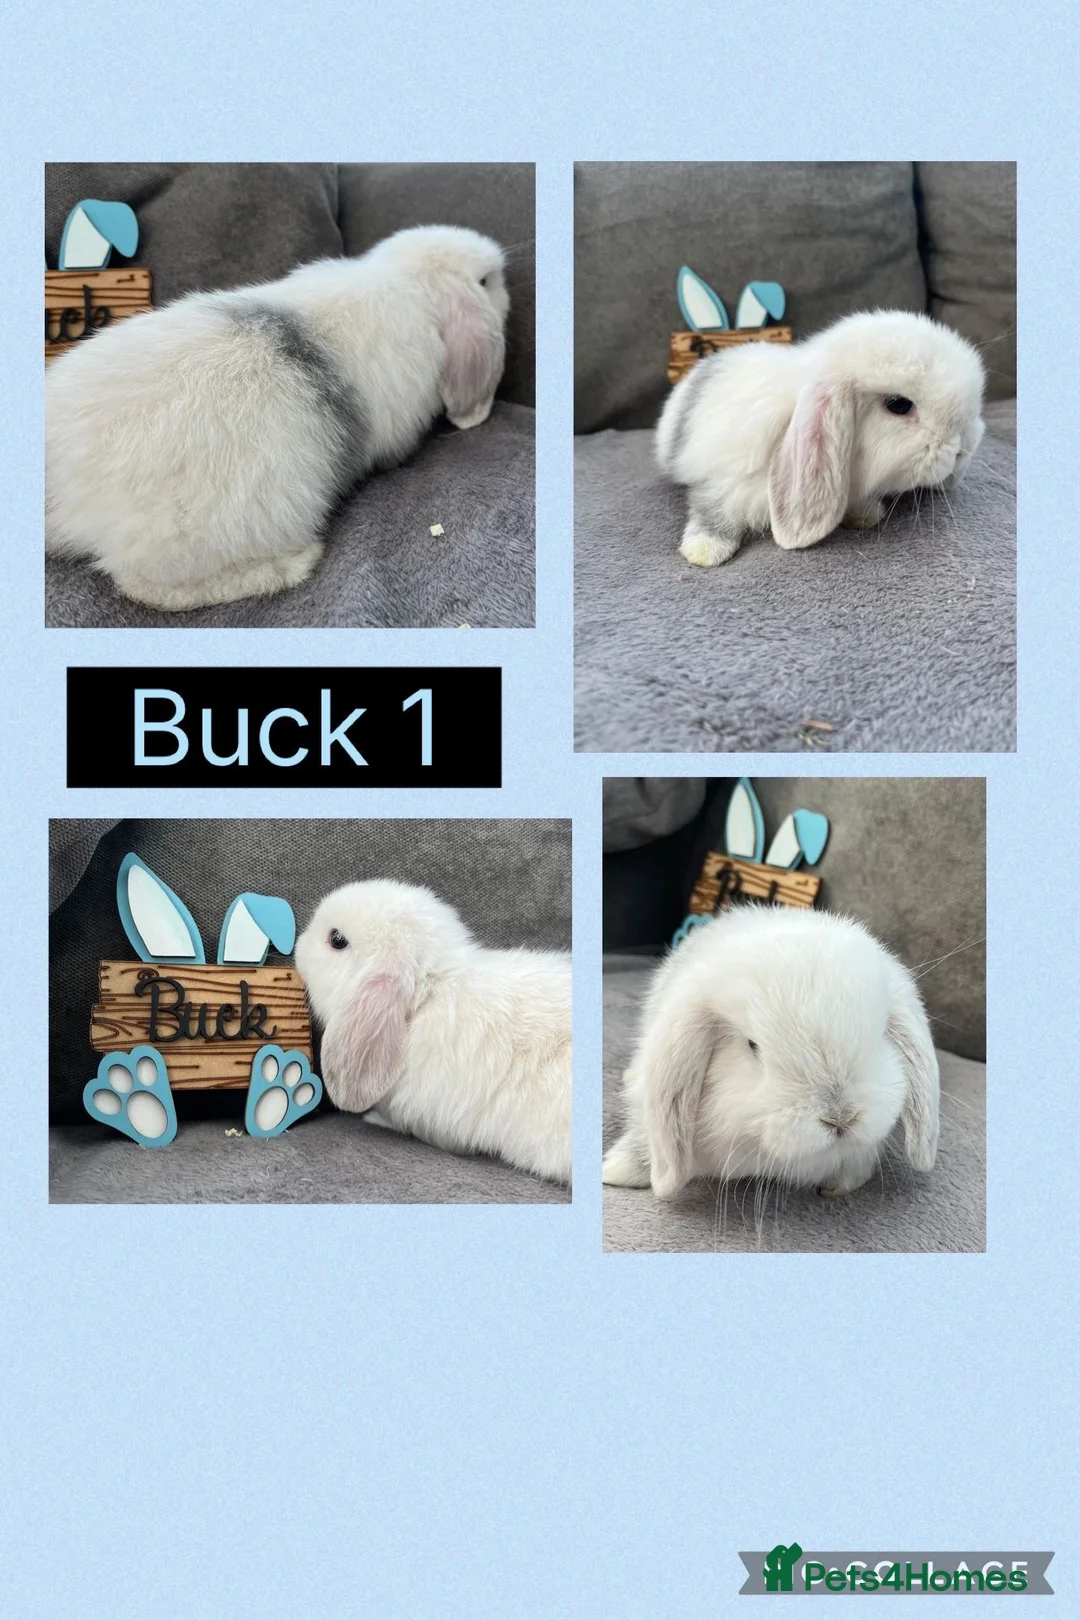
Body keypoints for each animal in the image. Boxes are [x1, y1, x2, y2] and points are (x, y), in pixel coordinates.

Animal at [45, 225, 509, 610]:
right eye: (487, 281)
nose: (507, 290)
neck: (408, 281)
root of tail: (65, 491)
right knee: (147, 587)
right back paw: (296, 564)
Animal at [656, 309, 985, 567]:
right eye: (899, 405)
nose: (964, 450)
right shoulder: (725, 480)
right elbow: (713, 508)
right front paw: (704, 551)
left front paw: (865, 516)